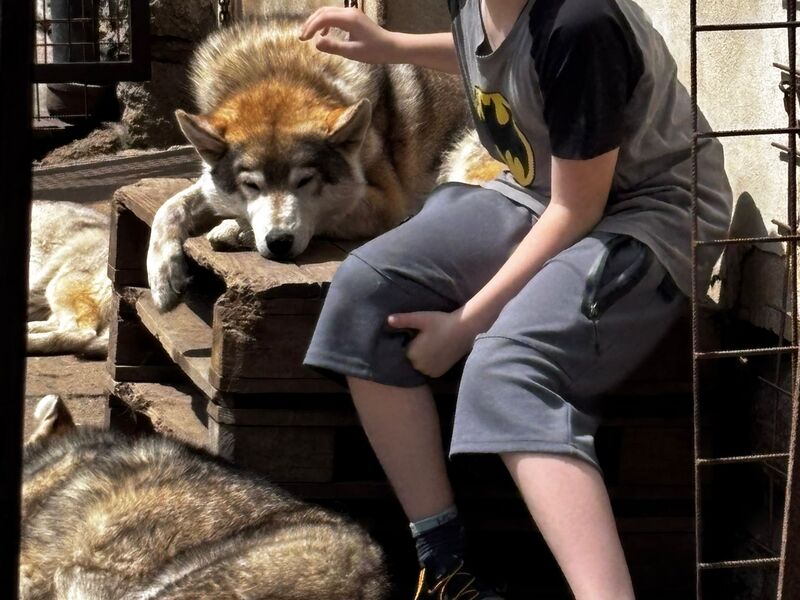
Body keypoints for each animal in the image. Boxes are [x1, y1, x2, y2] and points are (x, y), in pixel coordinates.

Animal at [145, 1, 496, 311]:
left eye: (305, 181)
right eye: (252, 185)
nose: (279, 241)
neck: (280, 69)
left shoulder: (385, 199)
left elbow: (326, 215)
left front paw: (235, 228)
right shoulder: (208, 183)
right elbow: (170, 207)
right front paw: (162, 277)